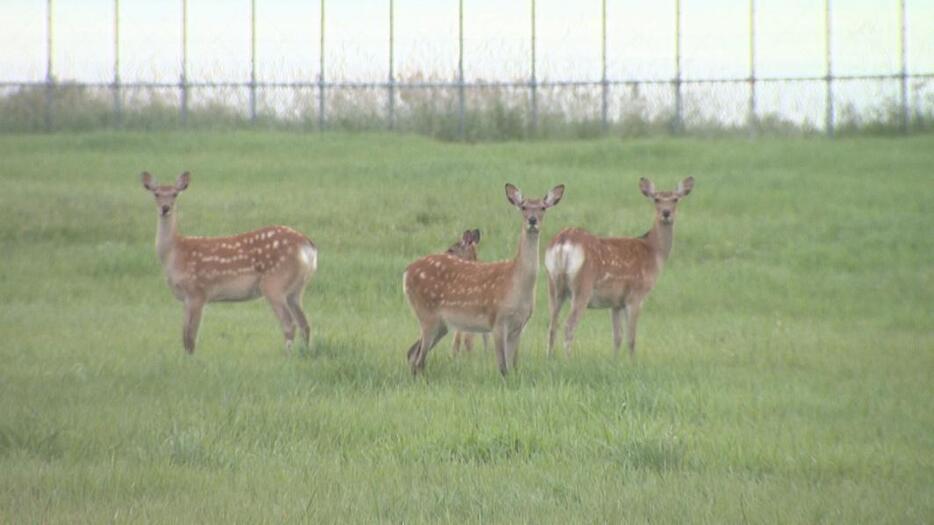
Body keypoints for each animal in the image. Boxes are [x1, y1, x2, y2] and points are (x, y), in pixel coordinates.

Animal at [141, 170, 318, 354]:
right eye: (156, 193)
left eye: (175, 194)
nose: (165, 208)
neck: (175, 253)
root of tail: (307, 245)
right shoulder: (185, 298)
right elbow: (184, 336)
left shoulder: (198, 292)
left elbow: (191, 337)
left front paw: (191, 359)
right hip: (296, 289)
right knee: (305, 324)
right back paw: (304, 352)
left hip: (275, 283)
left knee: (289, 324)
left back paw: (287, 355)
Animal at [406, 182, 568, 374]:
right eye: (523, 207)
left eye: (543, 207)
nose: (532, 220)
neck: (517, 284)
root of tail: (407, 272)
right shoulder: (497, 319)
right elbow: (503, 368)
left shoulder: (519, 325)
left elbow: (513, 366)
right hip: (426, 314)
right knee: (418, 359)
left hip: (441, 324)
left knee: (413, 353)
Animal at [540, 178, 696, 358]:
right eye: (656, 199)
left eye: (675, 199)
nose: (666, 213)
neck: (653, 252)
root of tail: (563, 241)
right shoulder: (635, 296)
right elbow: (631, 338)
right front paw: (633, 362)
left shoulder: (615, 302)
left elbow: (617, 337)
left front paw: (614, 361)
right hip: (582, 286)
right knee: (568, 326)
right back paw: (568, 359)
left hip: (553, 284)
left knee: (552, 325)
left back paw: (550, 358)